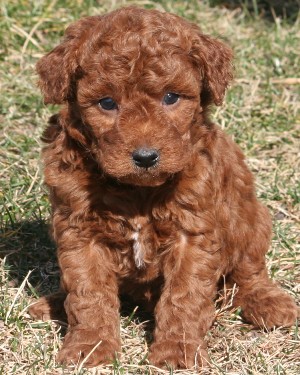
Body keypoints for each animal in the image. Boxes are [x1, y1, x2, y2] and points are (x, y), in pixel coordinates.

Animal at [29, 5, 298, 370]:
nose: (145, 157)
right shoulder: (79, 231)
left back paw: (269, 303)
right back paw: (52, 303)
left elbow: (184, 296)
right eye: (106, 103)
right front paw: (90, 347)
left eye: (171, 97)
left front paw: (177, 352)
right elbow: (87, 291)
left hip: (250, 217)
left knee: (248, 271)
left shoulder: (193, 232)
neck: (138, 191)